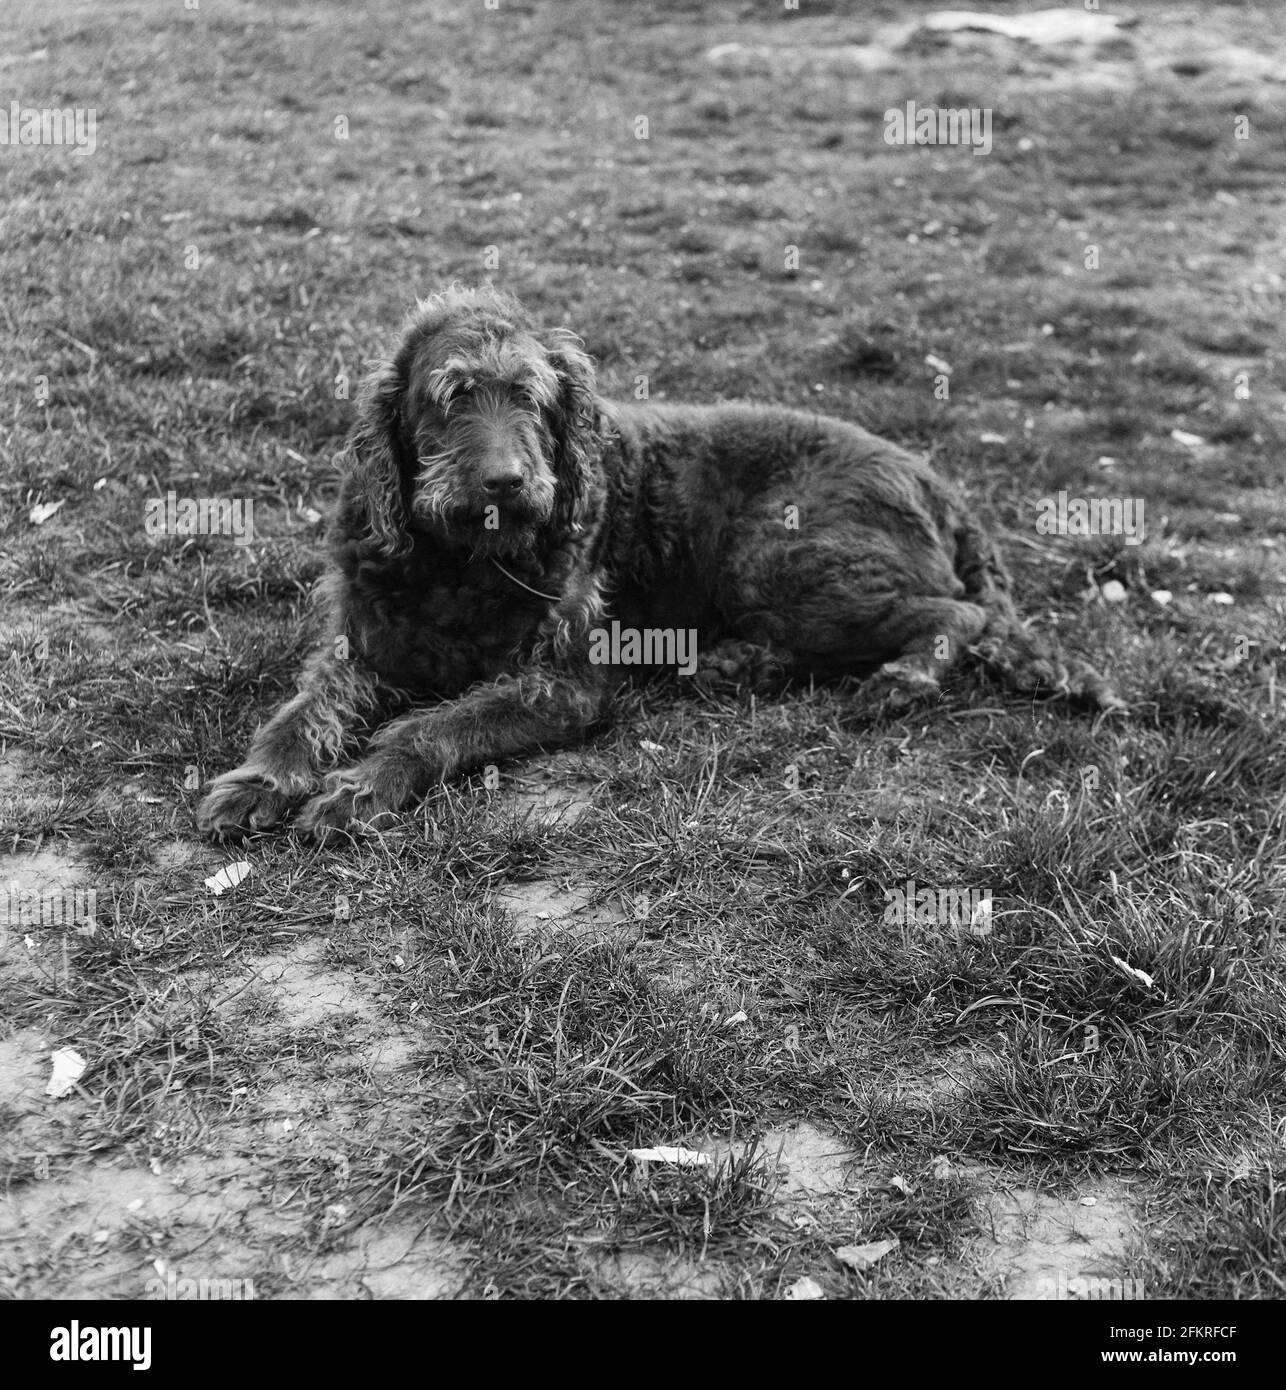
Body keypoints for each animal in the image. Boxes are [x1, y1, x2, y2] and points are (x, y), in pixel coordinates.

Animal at [196, 282, 1117, 834]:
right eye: (449, 396)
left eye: (530, 397)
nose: (505, 481)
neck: (462, 561)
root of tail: (936, 478)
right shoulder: (358, 647)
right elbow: (300, 711)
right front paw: (262, 779)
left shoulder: (561, 683)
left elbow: (435, 724)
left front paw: (364, 783)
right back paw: (737, 663)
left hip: (778, 557)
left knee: (957, 612)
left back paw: (901, 678)